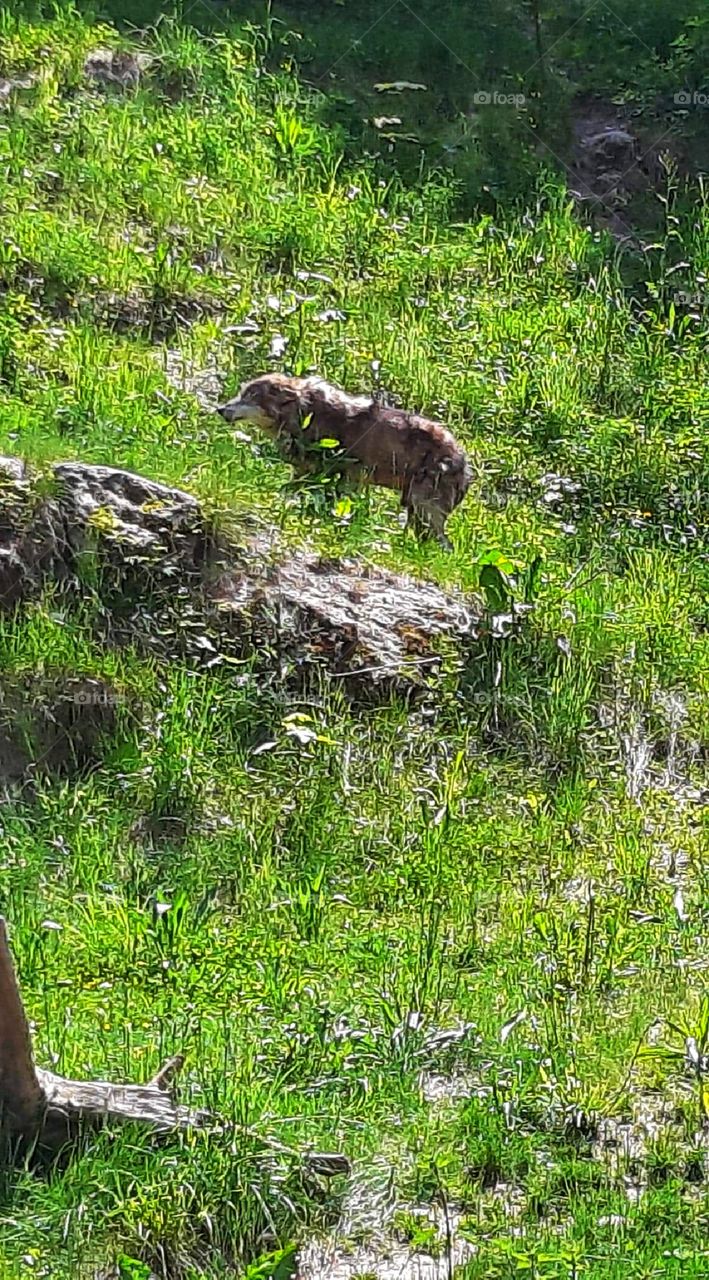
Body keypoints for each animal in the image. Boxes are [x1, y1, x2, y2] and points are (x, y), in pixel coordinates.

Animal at [216, 373, 468, 545]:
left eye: (251, 396)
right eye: (241, 393)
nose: (220, 409)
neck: (305, 413)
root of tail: (466, 464)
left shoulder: (349, 476)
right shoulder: (308, 473)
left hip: (424, 508)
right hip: (415, 510)